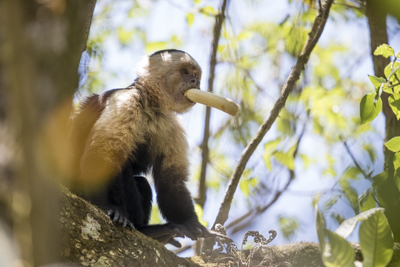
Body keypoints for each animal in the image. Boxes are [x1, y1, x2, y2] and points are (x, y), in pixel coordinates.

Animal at [69, 49, 225, 248]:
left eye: (196, 75)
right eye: (184, 72)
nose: (194, 82)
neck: (152, 105)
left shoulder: (171, 123)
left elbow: (171, 181)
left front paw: (192, 224)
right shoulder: (126, 102)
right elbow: (101, 156)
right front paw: (107, 207)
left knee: (142, 182)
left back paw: (153, 233)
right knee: (121, 167)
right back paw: (144, 229)